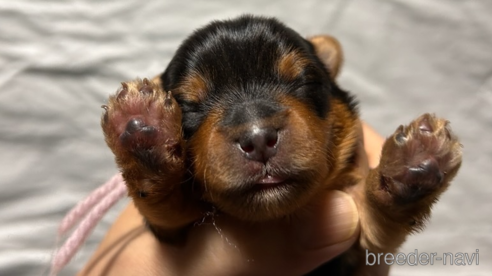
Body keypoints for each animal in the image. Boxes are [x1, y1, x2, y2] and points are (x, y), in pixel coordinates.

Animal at [100, 15, 462, 276]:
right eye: (188, 105)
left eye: (303, 81)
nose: (259, 138)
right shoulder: (171, 234)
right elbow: (165, 204)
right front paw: (144, 131)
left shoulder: (363, 251)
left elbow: (375, 221)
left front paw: (413, 162)